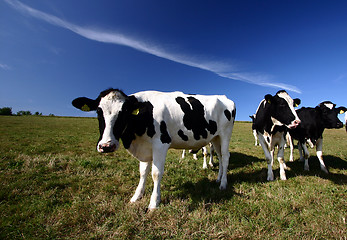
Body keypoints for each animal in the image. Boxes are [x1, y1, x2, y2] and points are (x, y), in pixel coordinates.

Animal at [72, 89, 237, 209]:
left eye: (124, 112)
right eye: (98, 111)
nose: (106, 146)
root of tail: (224, 97)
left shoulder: (160, 144)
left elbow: (156, 173)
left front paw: (153, 203)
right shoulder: (145, 148)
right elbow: (143, 172)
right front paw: (136, 196)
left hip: (225, 133)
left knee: (226, 157)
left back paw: (223, 184)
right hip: (215, 137)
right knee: (220, 156)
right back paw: (218, 179)